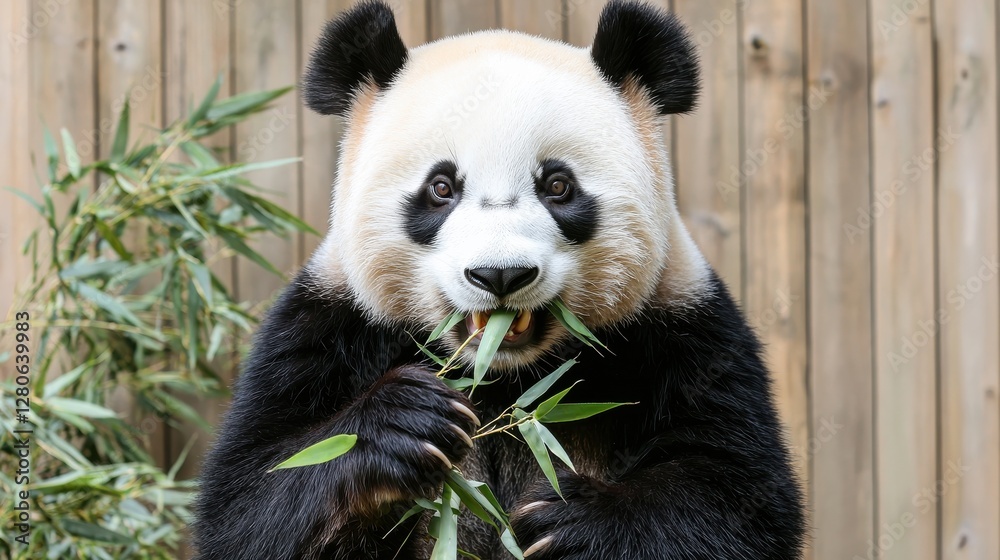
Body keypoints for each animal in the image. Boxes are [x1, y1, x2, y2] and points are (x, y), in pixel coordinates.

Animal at [192, 1, 806, 558]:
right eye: (441, 187)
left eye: (557, 185)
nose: (501, 274)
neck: (504, 377)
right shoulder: (330, 324)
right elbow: (252, 497)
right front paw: (407, 421)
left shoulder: (682, 329)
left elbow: (736, 495)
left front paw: (571, 526)